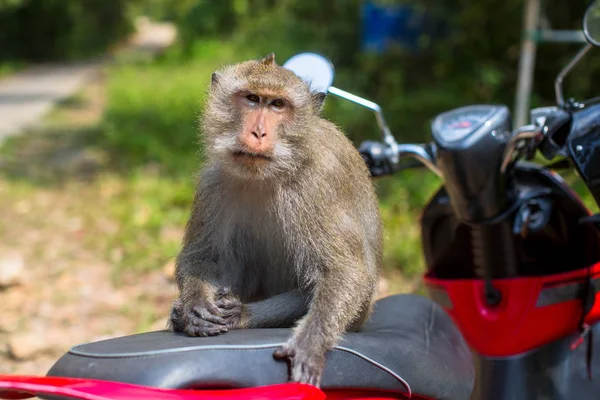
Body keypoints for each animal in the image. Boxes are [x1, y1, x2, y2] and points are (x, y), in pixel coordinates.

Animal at [169, 51, 384, 386]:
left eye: (278, 105)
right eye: (252, 99)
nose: (258, 132)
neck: (272, 172)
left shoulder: (316, 185)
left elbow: (346, 272)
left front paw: (310, 342)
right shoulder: (213, 181)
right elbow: (201, 256)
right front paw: (194, 306)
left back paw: (240, 314)